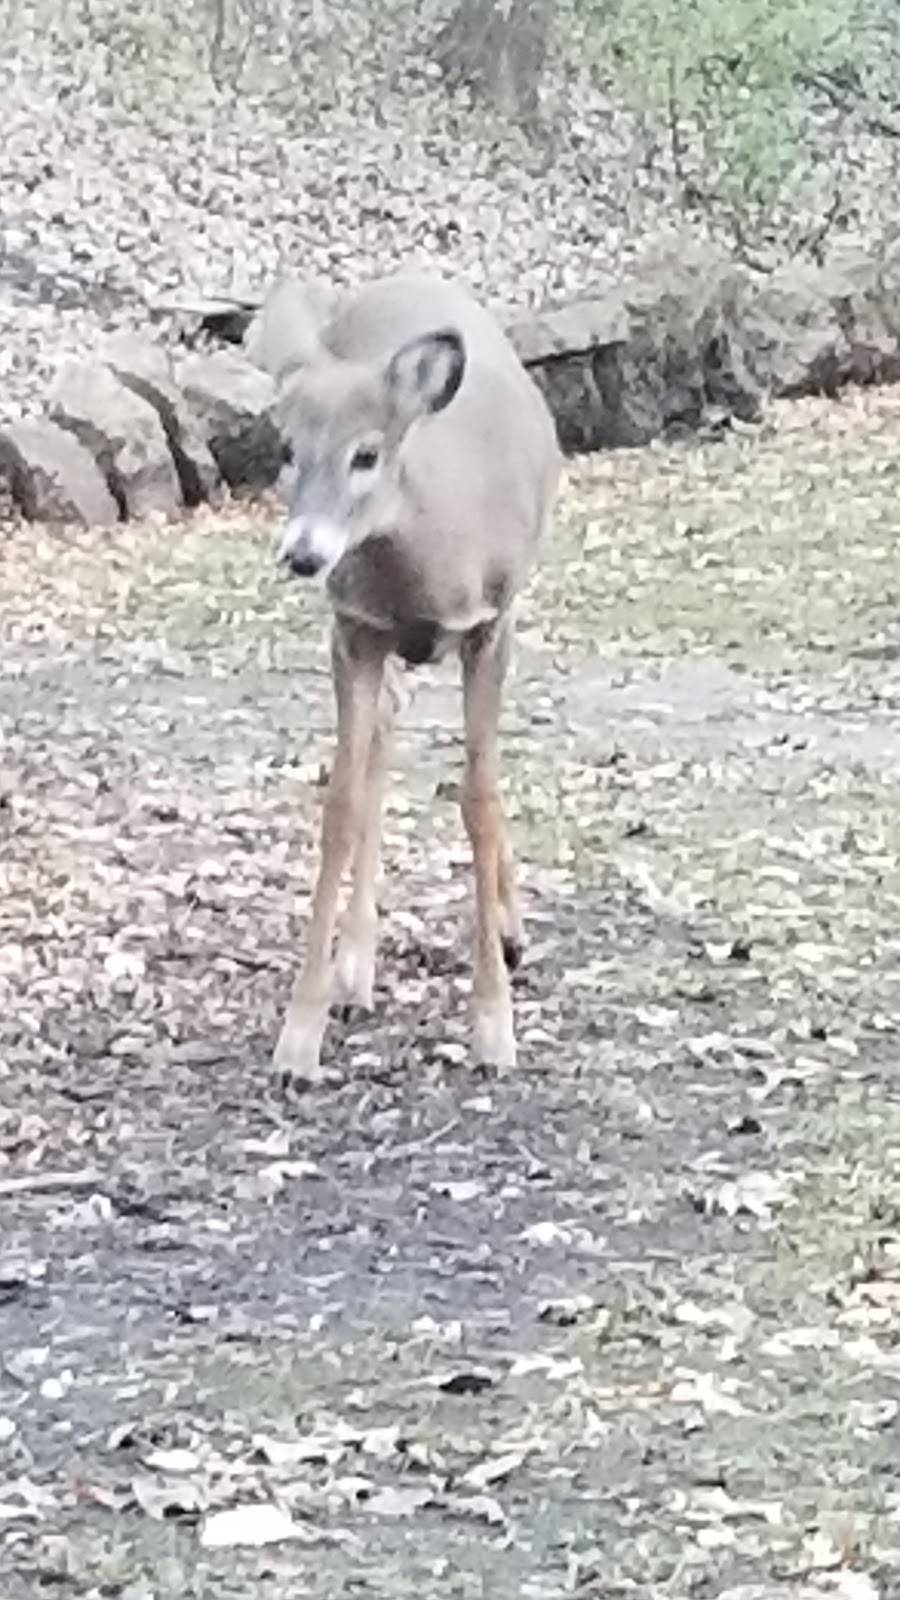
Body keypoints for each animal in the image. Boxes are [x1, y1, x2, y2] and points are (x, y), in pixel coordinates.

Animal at [248, 268, 560, 1088]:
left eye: (366, 454)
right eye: (286, 448)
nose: (304, 553)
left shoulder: (491, 625)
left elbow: (479, 801)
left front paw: (493, 1031)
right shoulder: (354, 626)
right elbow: (340, 804)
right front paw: (298, 1038)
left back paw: (510, 930)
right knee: (385, 728)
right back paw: (356, 970)